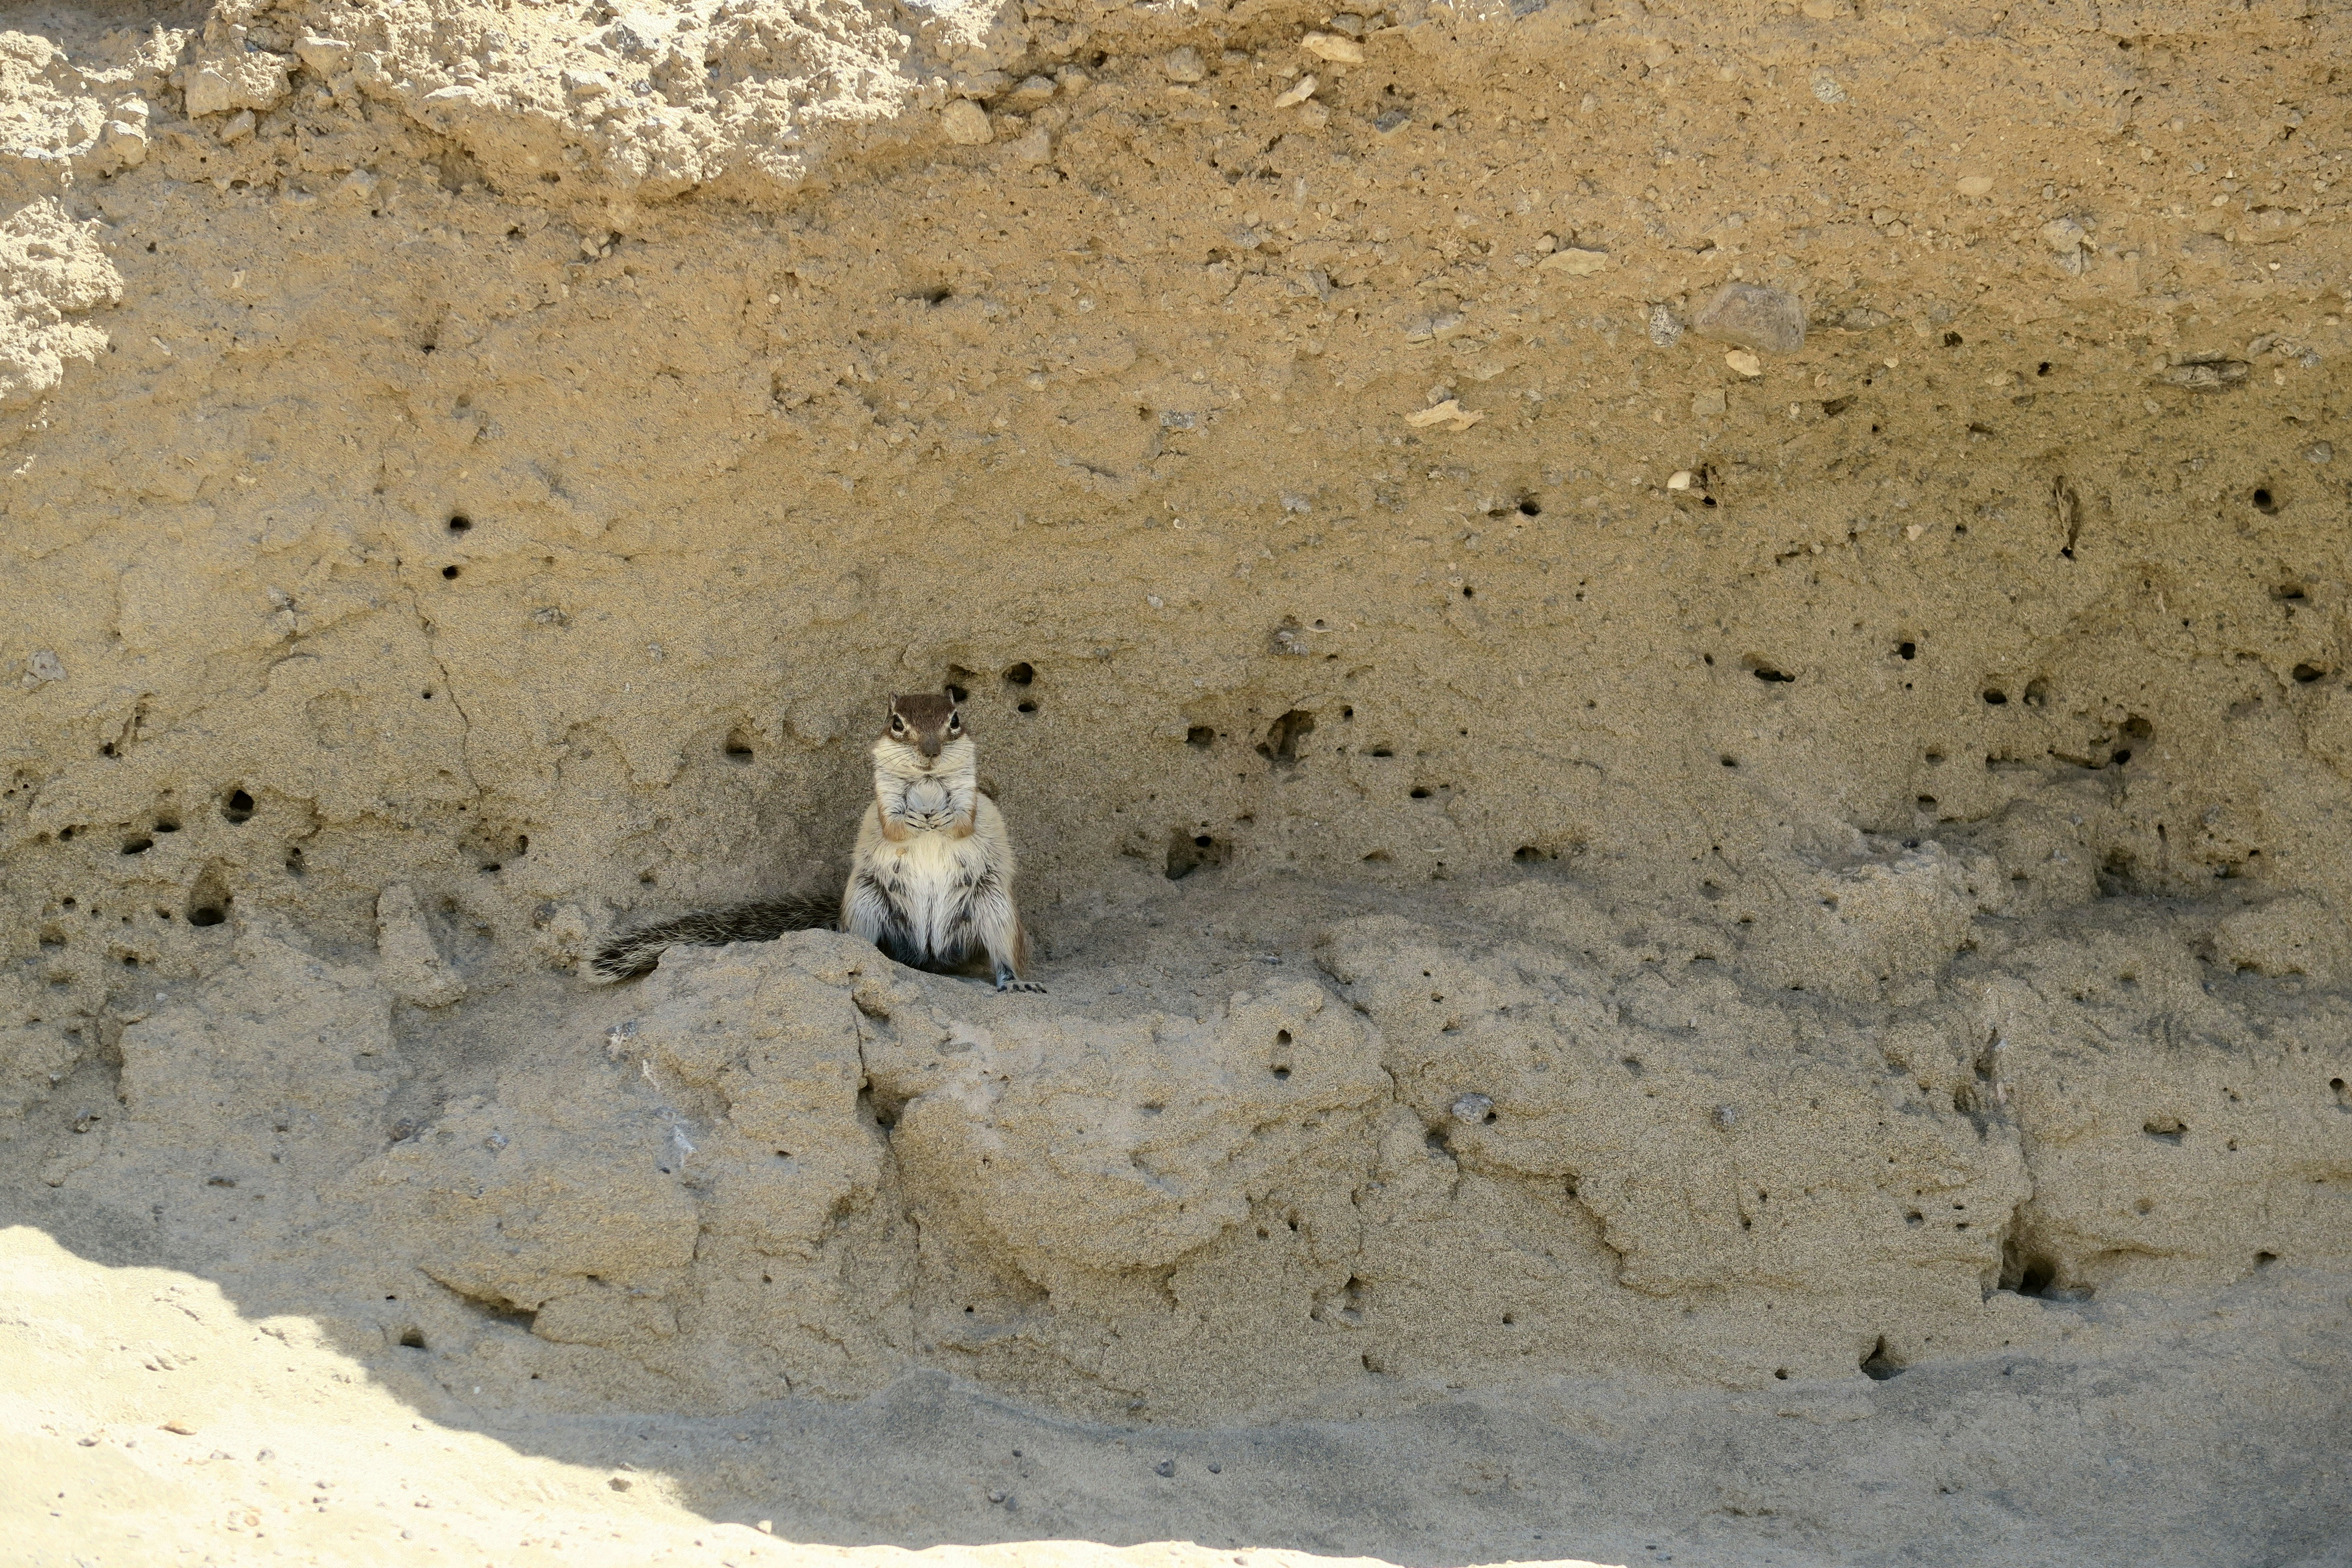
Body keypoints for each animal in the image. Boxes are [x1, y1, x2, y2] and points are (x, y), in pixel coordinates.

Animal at [588, 692, 1044, 992]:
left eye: (955, 719)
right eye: (897, 723)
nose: (930, 752)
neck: (928, 783)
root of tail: (930, 955)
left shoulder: (970, 794)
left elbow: (964, 821)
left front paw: (944, 818)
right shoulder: (883, 799)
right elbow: (894, 826)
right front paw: (915, 819)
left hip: (993, 906)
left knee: (1004, 953)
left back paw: (1014, 981)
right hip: (866, 900)